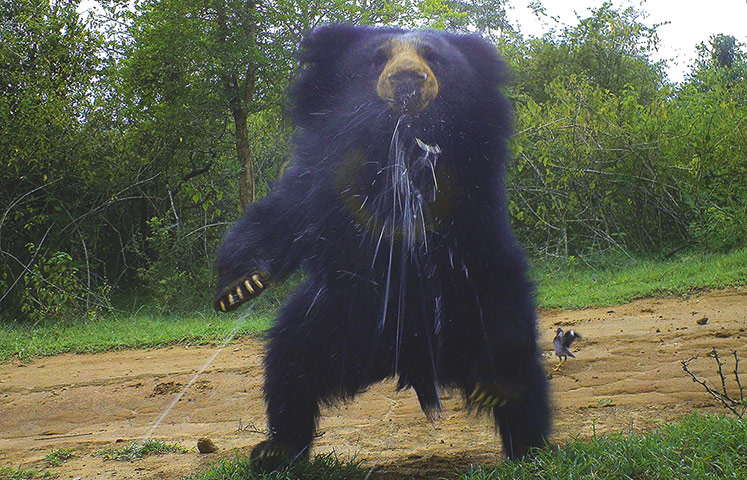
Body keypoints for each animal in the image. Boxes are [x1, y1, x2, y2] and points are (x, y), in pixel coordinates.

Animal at [214, 24, 549, 471]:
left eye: (433, 57)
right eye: (378, 59)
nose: (407, 82)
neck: (399, 147)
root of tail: (410, 361)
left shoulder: (473, 201)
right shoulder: (326, 172)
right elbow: (283, 215)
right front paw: (240, 286)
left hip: (469, 308)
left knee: (522, 372)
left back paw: (523, 436)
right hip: (333, 317)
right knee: (289, 366)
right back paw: (276, 449)